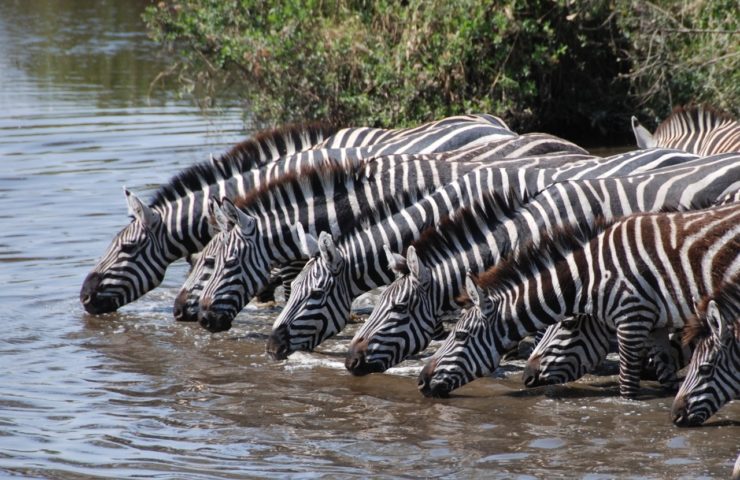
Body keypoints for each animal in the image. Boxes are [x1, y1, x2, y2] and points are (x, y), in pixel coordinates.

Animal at [418, 202, 740, 399]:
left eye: (460, 336)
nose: (421, 381)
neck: (590, 276)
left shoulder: (631, 318)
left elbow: (627, 386)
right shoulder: (655, 325)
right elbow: (667, 377)